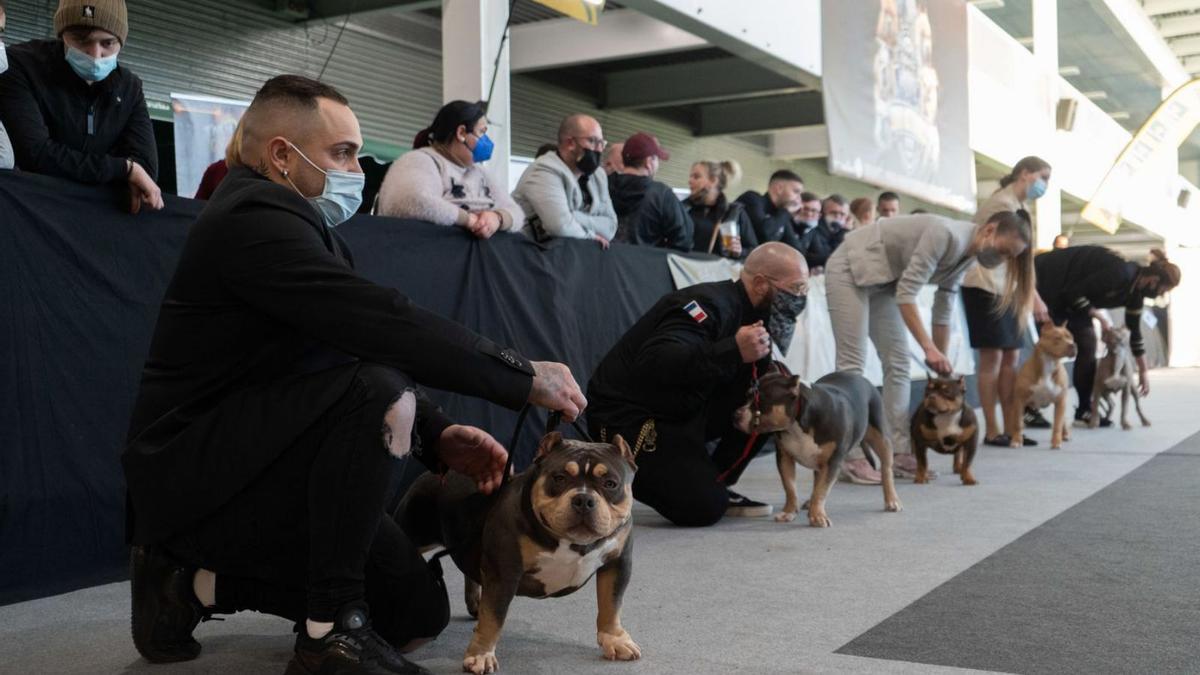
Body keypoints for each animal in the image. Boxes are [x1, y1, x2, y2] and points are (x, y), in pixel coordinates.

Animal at [391, 429, 638, 672]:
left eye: (610, 484)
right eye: (559, 478)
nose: (584, 499)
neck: (572, 543)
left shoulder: (618, 563)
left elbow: (611, 604)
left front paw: (615, 640)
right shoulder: (504, 571)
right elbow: (493, 618)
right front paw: (480, 655)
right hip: (413, 528)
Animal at [729, 367, 902, 526]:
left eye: (760, 401)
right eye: (747, 396)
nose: (735, 414)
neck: (797, 424)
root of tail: (860, 378)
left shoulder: (832, 462)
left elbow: (821, 490)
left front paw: (817, 516)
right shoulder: (784, 458)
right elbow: (790, 487)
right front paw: (789, 512)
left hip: (881, 437)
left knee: (886, 469)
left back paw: (892, 500)